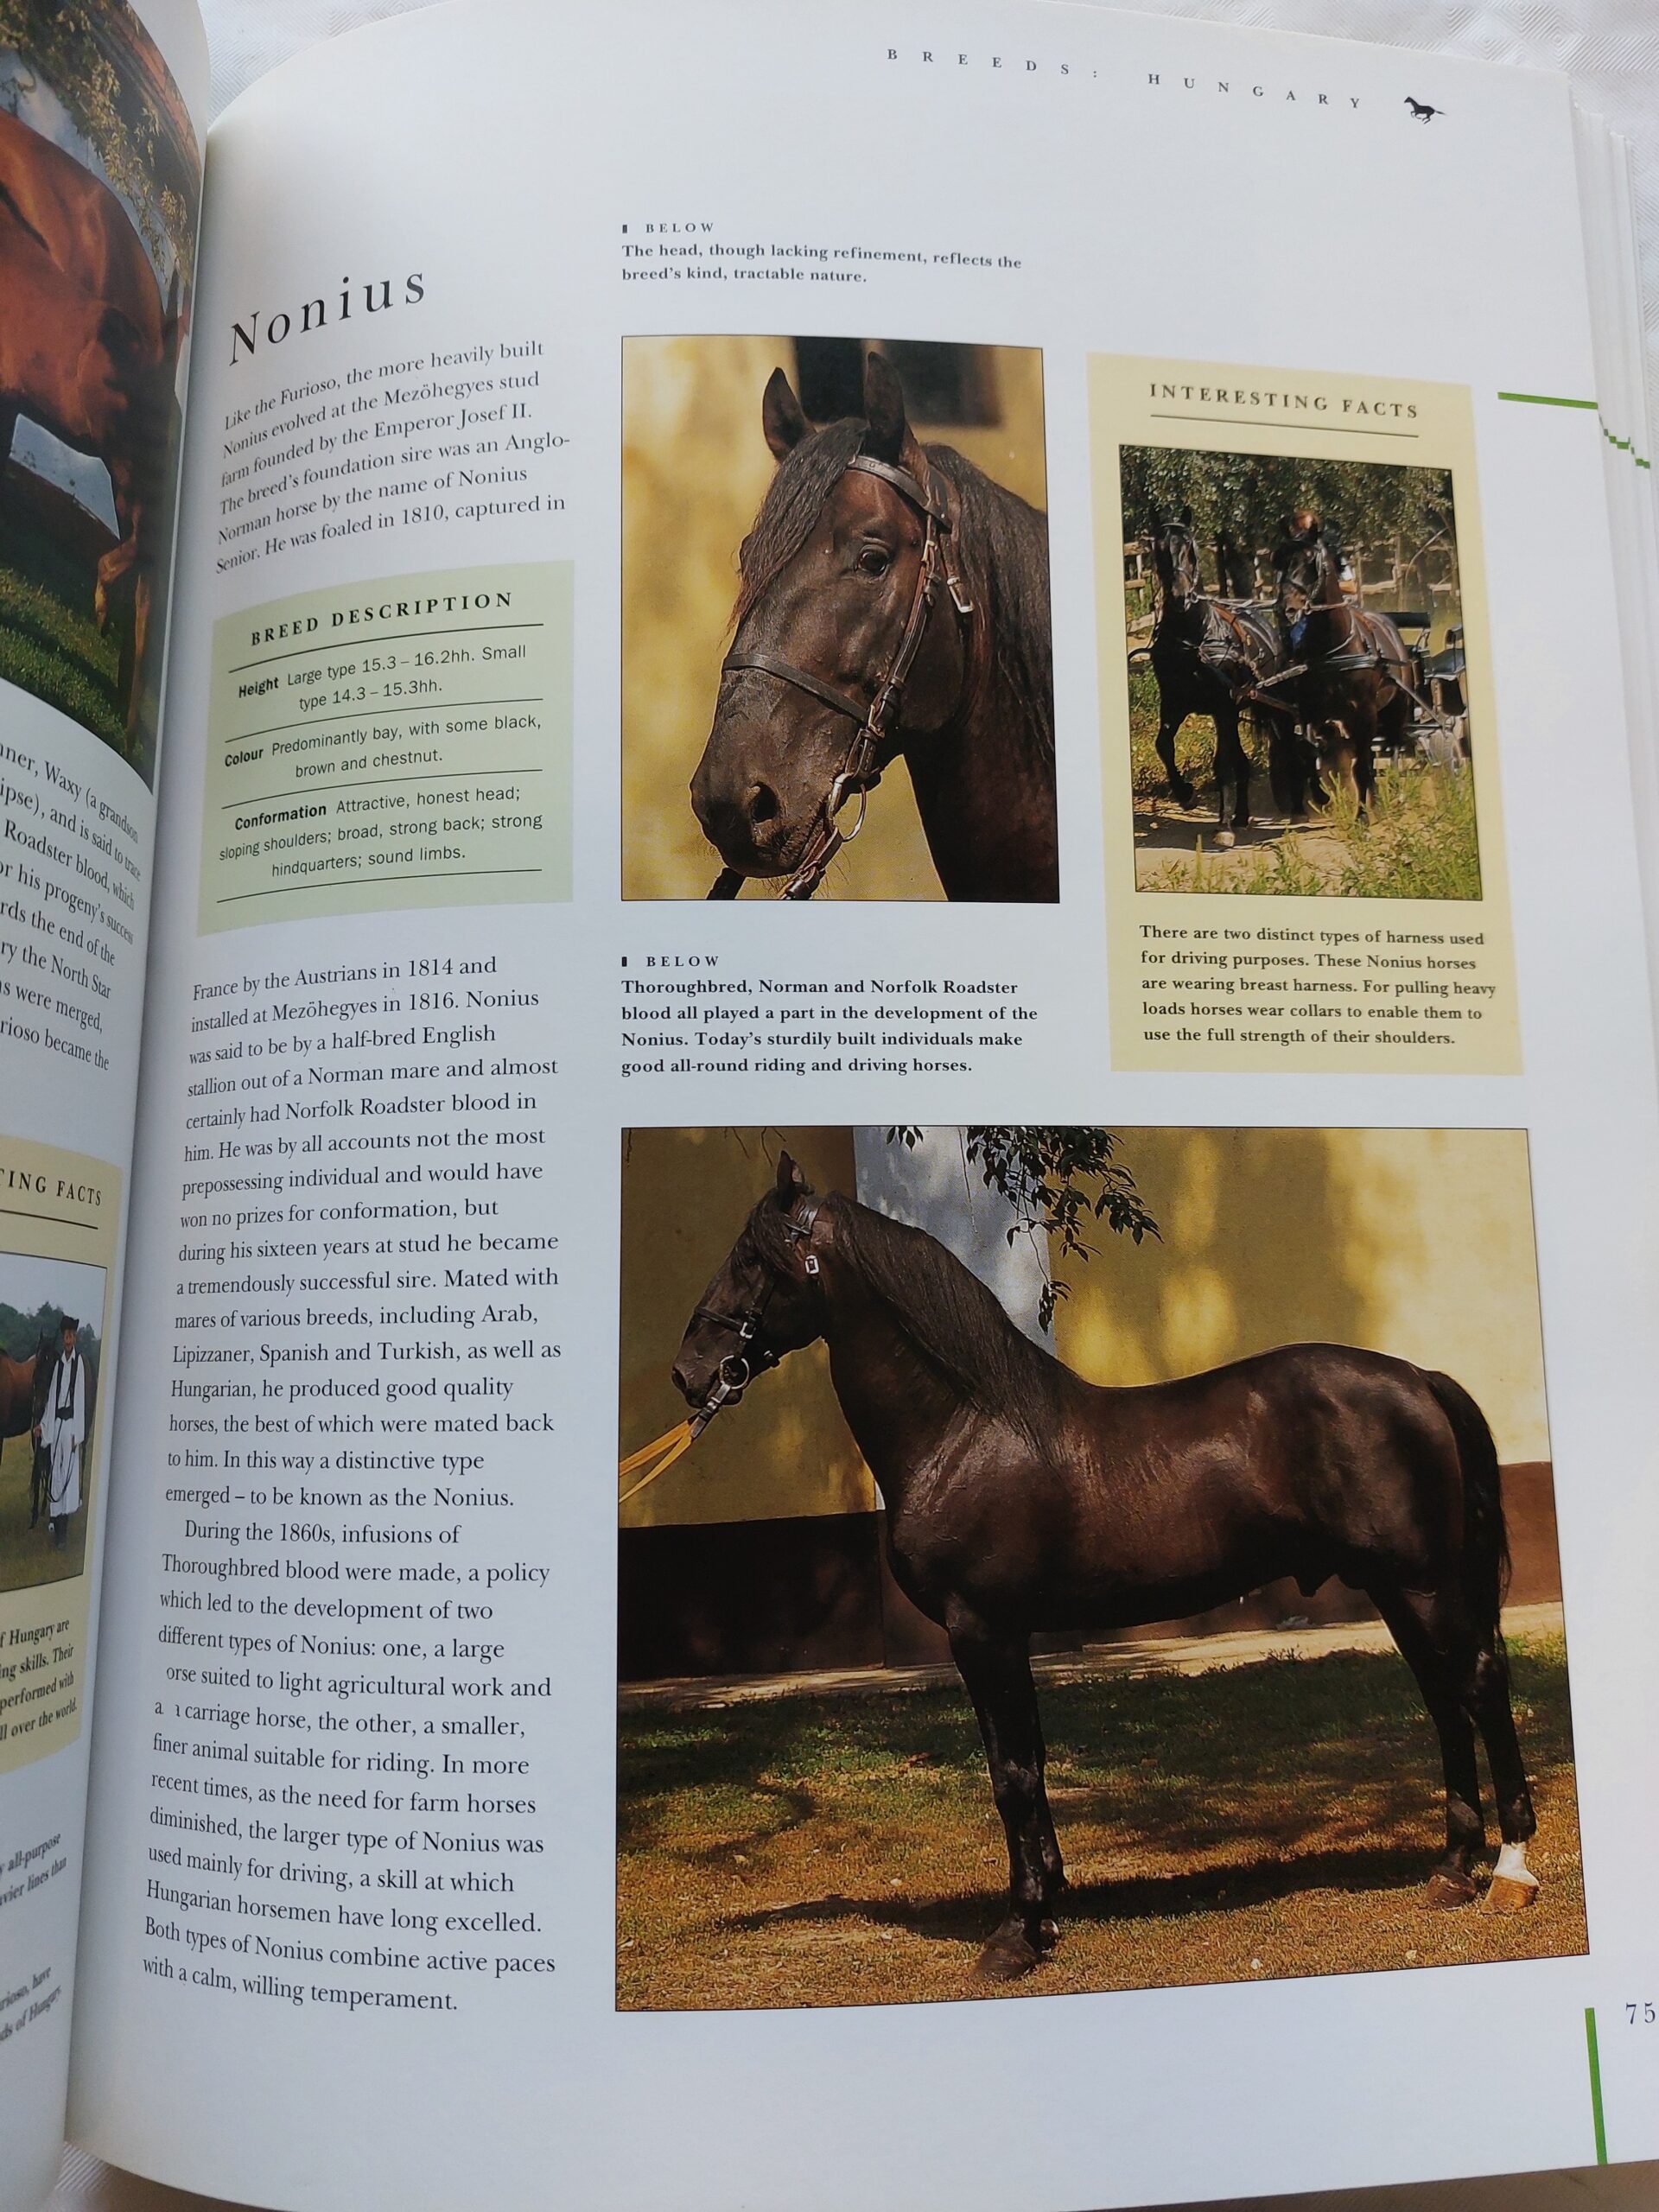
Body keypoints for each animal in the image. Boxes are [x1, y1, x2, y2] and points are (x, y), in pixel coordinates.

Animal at [670, 1154, 1541, 1979]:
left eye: (750, 1256)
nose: (690, 1370)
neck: (963, 1430)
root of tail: (1419, 1380)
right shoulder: (1004, 1638)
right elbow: (1025, 1763)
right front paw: (1048, 1908)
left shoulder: (982, 1632)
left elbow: (1012, 1777)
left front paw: (1016, 1935)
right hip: (1396, 1589)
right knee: (1443, 1702)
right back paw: (1451, 1870)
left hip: (1426, 1585)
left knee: (1478, 1689)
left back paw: (1510, 1870)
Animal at [1144, 516, 1293, 844]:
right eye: (1159, 549)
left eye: (1190, 548)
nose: (1180, 596)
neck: (1194, 638)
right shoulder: (1173, 702)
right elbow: (1164, 746)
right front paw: (1185, 794)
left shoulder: (1223, 705)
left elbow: (1222, 764)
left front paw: (1223, 826)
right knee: (1243, 762)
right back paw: (1240, 815)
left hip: (1260, 705)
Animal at [1275, 510, 1413, 815]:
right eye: (1278, 561)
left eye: (1311, 562)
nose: (1285, 608)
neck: (1332, 651)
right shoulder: (1310, 710)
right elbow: (1307, 750)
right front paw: (1321, 796)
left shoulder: (1364, 712)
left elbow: (1362, 766)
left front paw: (1362, 814)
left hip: (1395, 706)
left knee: (1394, 744)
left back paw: (1393, 792)